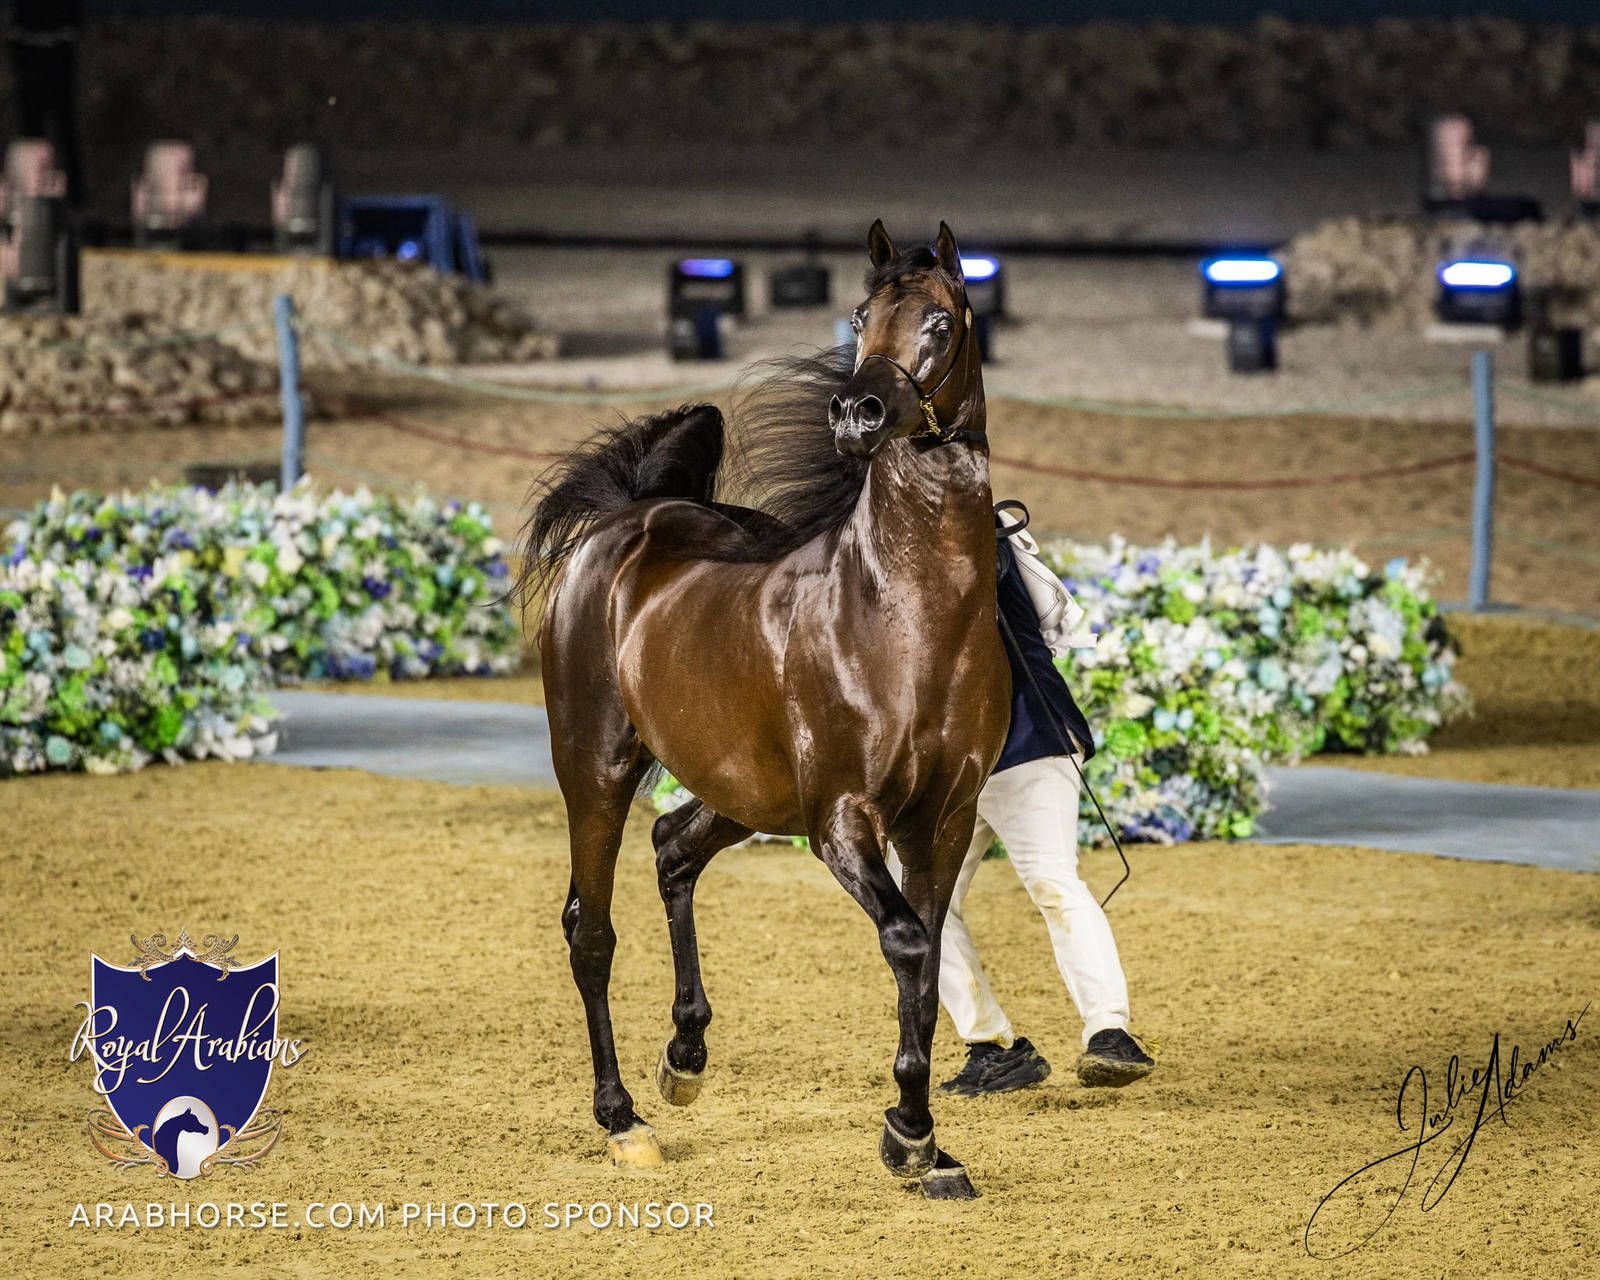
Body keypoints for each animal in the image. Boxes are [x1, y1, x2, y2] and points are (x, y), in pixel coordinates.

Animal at [518, 220, 1009, 1199]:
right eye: (858, 317)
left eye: (941, 321)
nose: (857, 414)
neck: (914, 616)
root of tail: (629, 521)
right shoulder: (843, 821)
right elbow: (907, 945)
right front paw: (909, 1132)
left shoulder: (942, 818)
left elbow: (932, 959)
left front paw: (923, 1143)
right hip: (597, 770)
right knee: (591, 931)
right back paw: (623, 1118)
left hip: (746, 793)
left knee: (673, 848)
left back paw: (686, 1056)